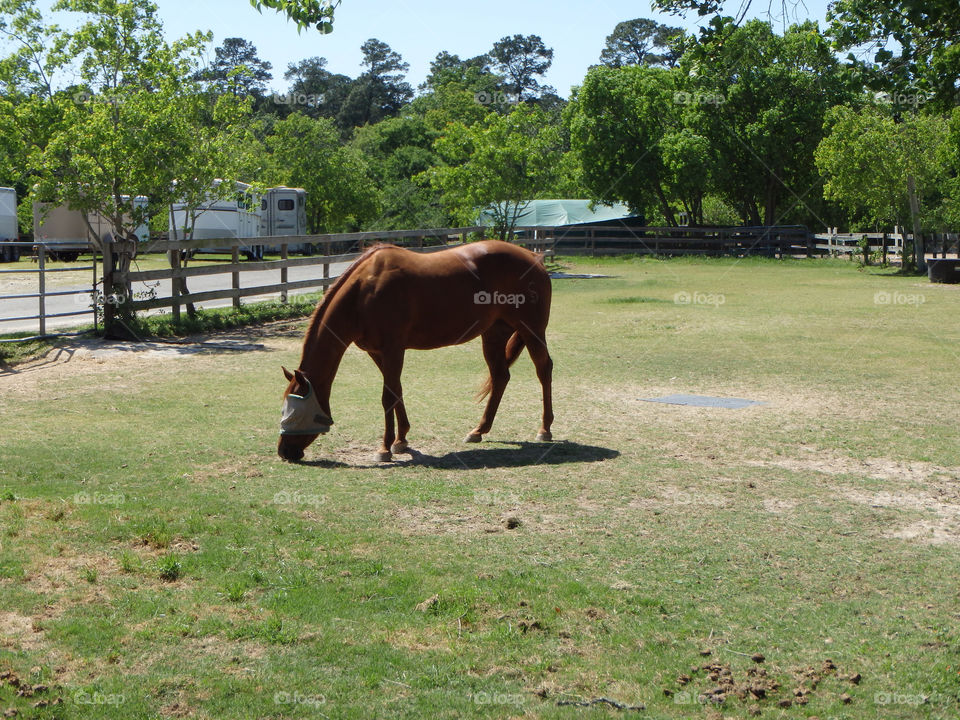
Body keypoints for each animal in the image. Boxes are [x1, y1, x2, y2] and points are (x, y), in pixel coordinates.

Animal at [277, 240, 554, 462]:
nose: (283, 452)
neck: (363, 293)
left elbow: (388, 396)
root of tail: (534, 258)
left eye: (293, 413)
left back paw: (545, 429)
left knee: (544, 369)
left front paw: (384, 448)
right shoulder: (378, 353)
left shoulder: (393, 350)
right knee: (500, 377)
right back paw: (479, 430)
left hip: (532, 330)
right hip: (494, 334)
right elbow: (396, 390)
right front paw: (401, 440)